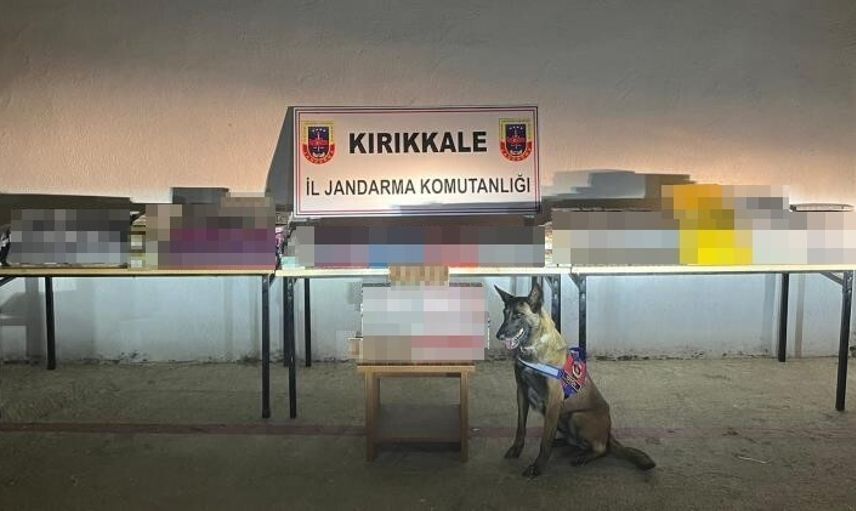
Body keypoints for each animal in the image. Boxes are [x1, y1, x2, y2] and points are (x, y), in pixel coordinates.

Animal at [495, 282, 656, 477]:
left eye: (519, 315)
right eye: (505, 313)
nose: (499, 335)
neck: (534, 347)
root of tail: (608, 433)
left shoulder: (554, 400)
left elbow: (544, 440)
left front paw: (538, 466)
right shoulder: (521, 392)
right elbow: (521, 428)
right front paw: (517, 449)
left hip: (576, 416)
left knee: (602, 449)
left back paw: (584, 456)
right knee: (573, 441)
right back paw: (561, 443)